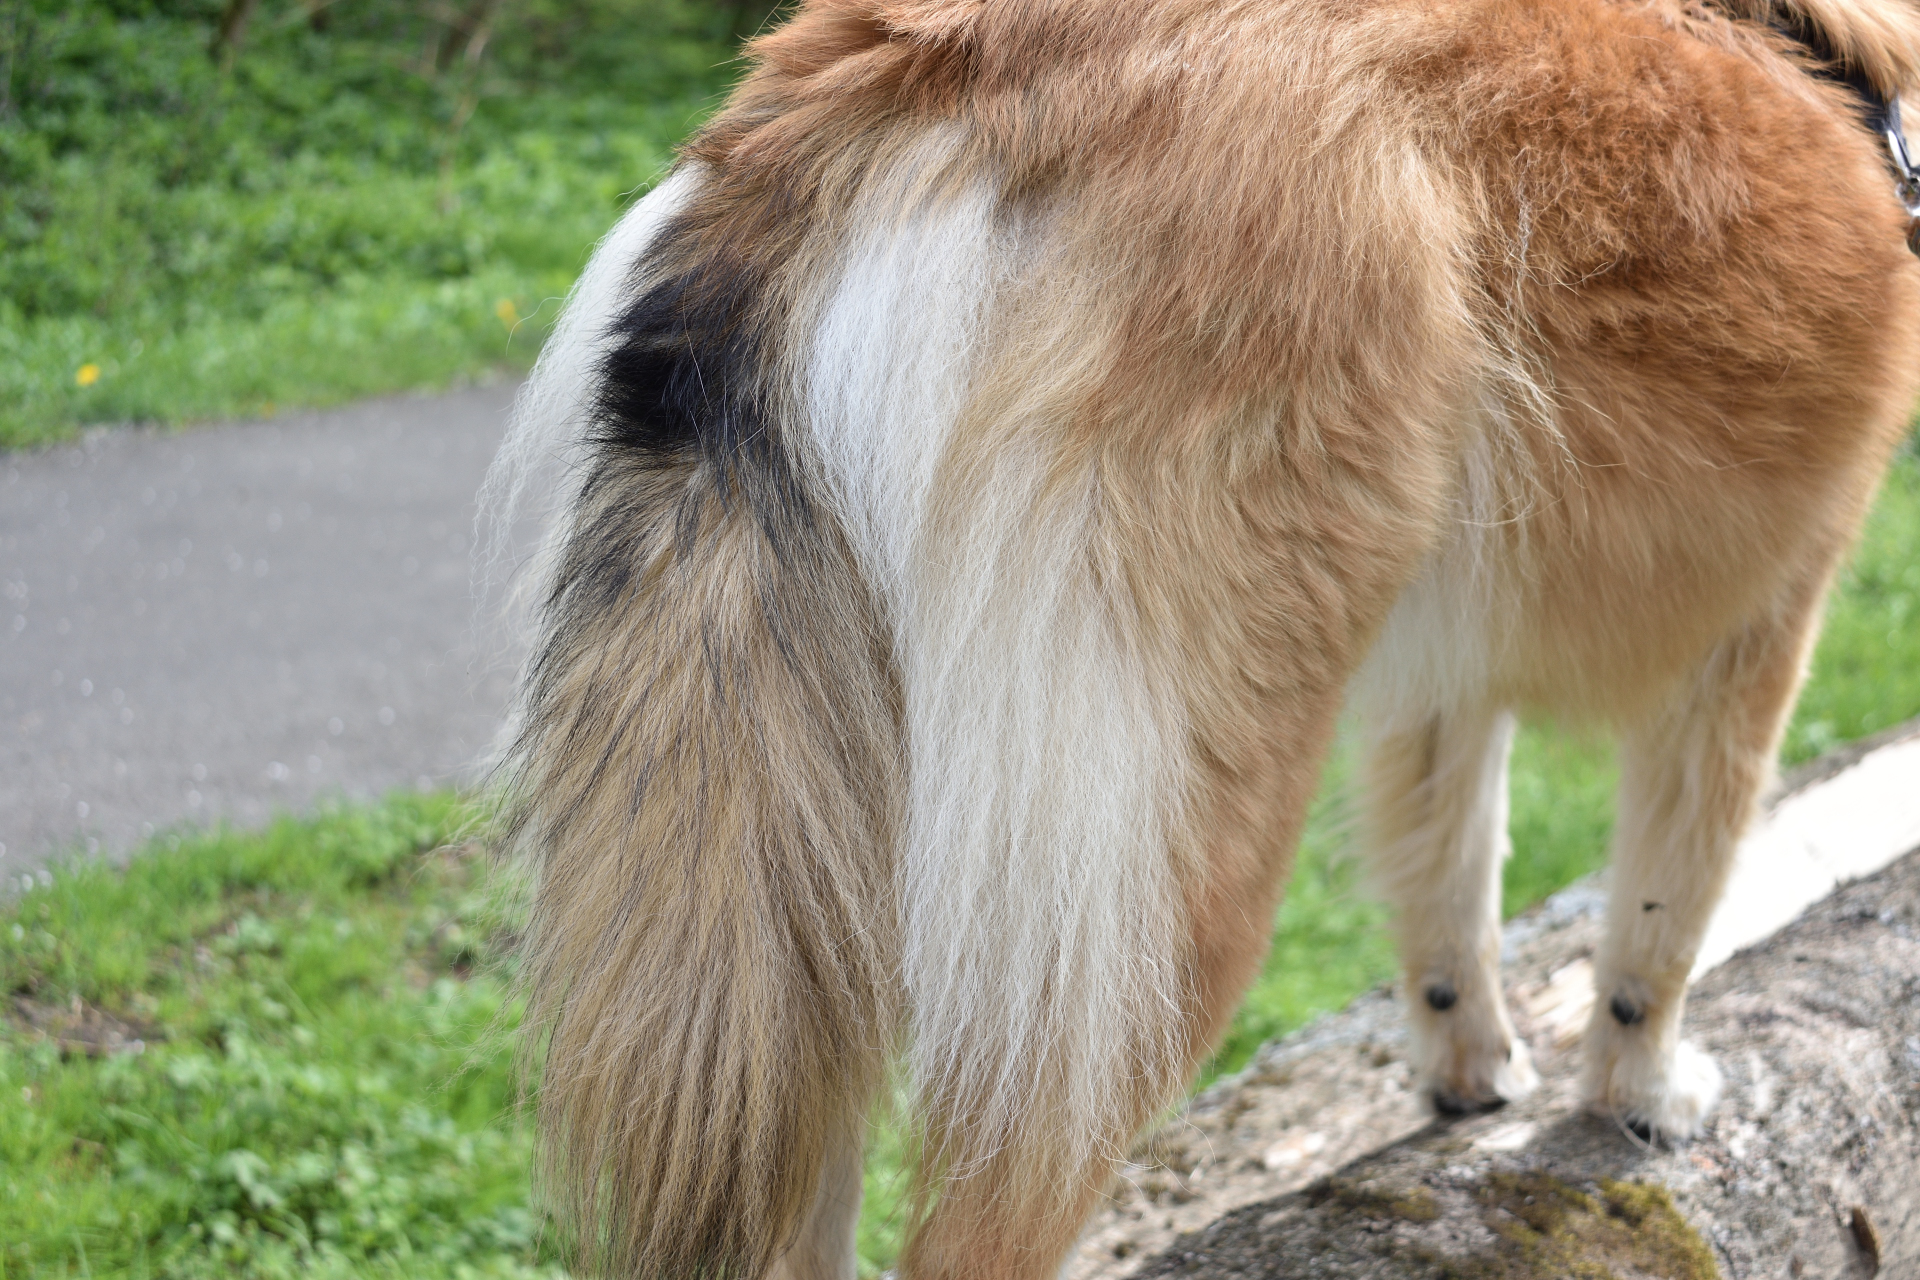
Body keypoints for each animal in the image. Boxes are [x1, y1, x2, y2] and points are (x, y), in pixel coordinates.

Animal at [487, 5, 1920, 1274]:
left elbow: (1450, 882)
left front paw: (1470, 1070)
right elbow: (1664, 913)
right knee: (982, 1225)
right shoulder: (1762, 622)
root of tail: (906, 85)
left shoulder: (1442, 677)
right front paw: (1640, 1090)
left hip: (807, 878)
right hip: (1154, 877)